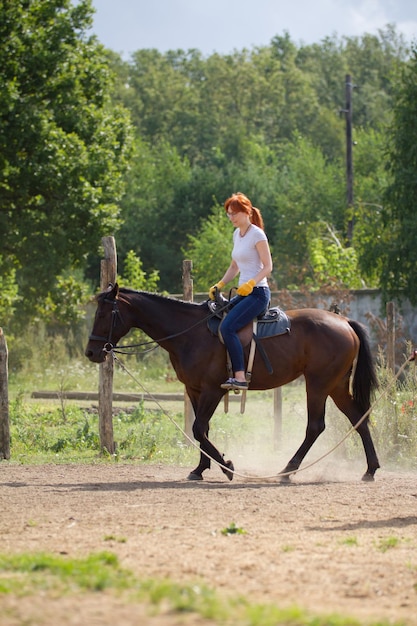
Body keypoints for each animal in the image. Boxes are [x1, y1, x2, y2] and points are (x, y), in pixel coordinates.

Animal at [86, 284, 378, 482]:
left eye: (104, 315)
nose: (91, 352)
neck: (190, 332)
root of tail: (344, 321)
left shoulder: (213, 390)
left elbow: (198, 428)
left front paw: (228, 467)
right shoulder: (195, 390)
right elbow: (202, 429)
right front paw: (199, 469)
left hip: (318, 385)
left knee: (315, 426)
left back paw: (287, 470)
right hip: (336, 386)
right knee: (358, 418)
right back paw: (370, 469)